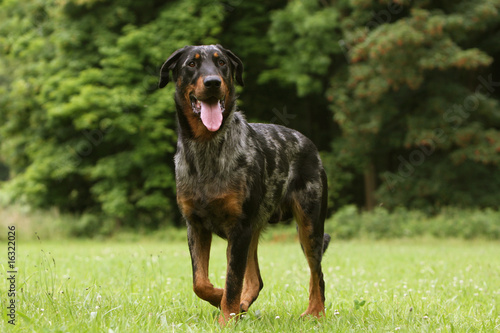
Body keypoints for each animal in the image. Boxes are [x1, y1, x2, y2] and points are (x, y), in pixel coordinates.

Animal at [160, 44, 330, 324]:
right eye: (191, 64)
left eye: (222, 63)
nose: (213, 82)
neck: (207, 147)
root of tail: (309, 144)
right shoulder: (195, 224)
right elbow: (200, 282)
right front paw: (222, 300)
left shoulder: (239, 227)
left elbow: (232, 279)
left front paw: (226, 316)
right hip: (255, 228)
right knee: (256, 279)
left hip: (309, 222)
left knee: (317, 273)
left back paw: (315, 312)